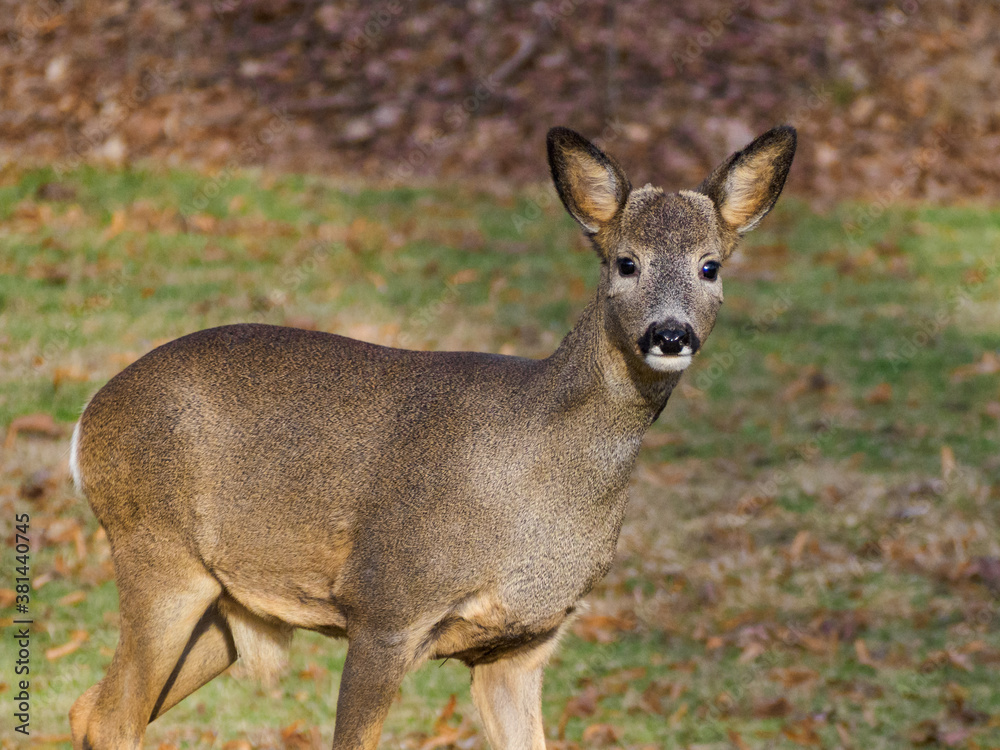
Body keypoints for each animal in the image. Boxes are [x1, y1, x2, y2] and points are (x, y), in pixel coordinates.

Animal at [69, 124, 795, 749]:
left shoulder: (520, 645)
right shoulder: (386, 605)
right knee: (112, 718)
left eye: (710, 267)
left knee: (88, 707)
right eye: (625, 262)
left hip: (225, 602)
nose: (670, 333)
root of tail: (87, 422)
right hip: (159, 552)